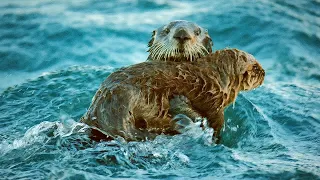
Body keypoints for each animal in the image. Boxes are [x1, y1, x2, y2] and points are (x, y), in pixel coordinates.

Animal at [80, 49, 264, 142]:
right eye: (255, 67)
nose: (264, 73)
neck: (214, 78)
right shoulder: (214, 104)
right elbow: (215, 125)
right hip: (134, 98)